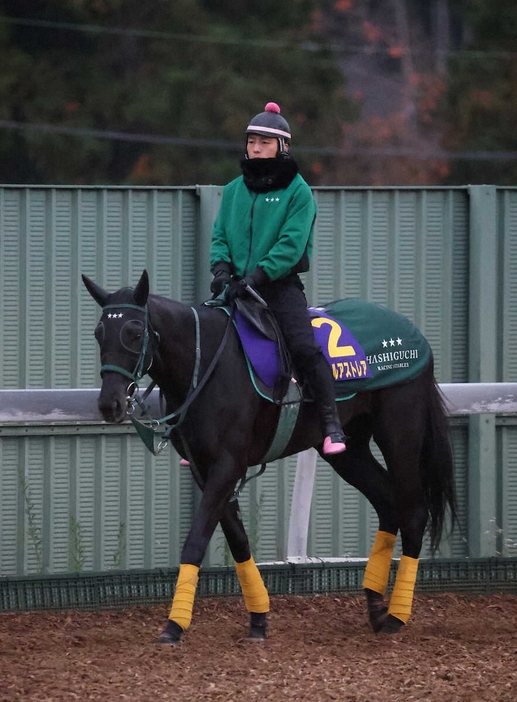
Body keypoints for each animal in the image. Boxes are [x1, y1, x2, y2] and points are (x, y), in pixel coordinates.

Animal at [82, 270, 458, 648]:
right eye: (99, 333)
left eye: (134, 331)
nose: (109, 404)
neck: (205, 362)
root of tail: (415, 335)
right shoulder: (206, 468)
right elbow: (237, 540)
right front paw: (259, 618)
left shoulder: (227, 464)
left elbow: (196, 540)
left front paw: (175, 624)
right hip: (350, 451)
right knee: (387, 503)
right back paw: (376, 606)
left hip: (400, 435)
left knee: (413, 513)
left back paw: (396, 615)